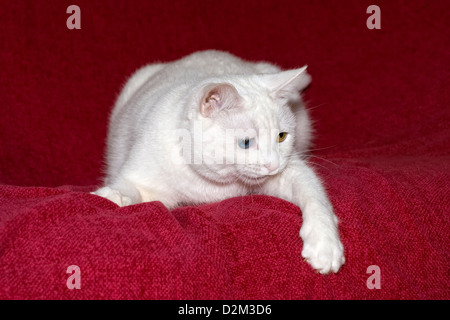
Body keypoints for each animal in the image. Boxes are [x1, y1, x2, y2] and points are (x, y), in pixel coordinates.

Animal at [94, 49, 344, 272]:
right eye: (246, 142)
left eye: (282, 136)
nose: (273, 165)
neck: (213, 187)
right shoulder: (143, 178)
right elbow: (128, 189)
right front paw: (110, 195)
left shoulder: (292, 171)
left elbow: (315, 197)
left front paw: (325, 245)